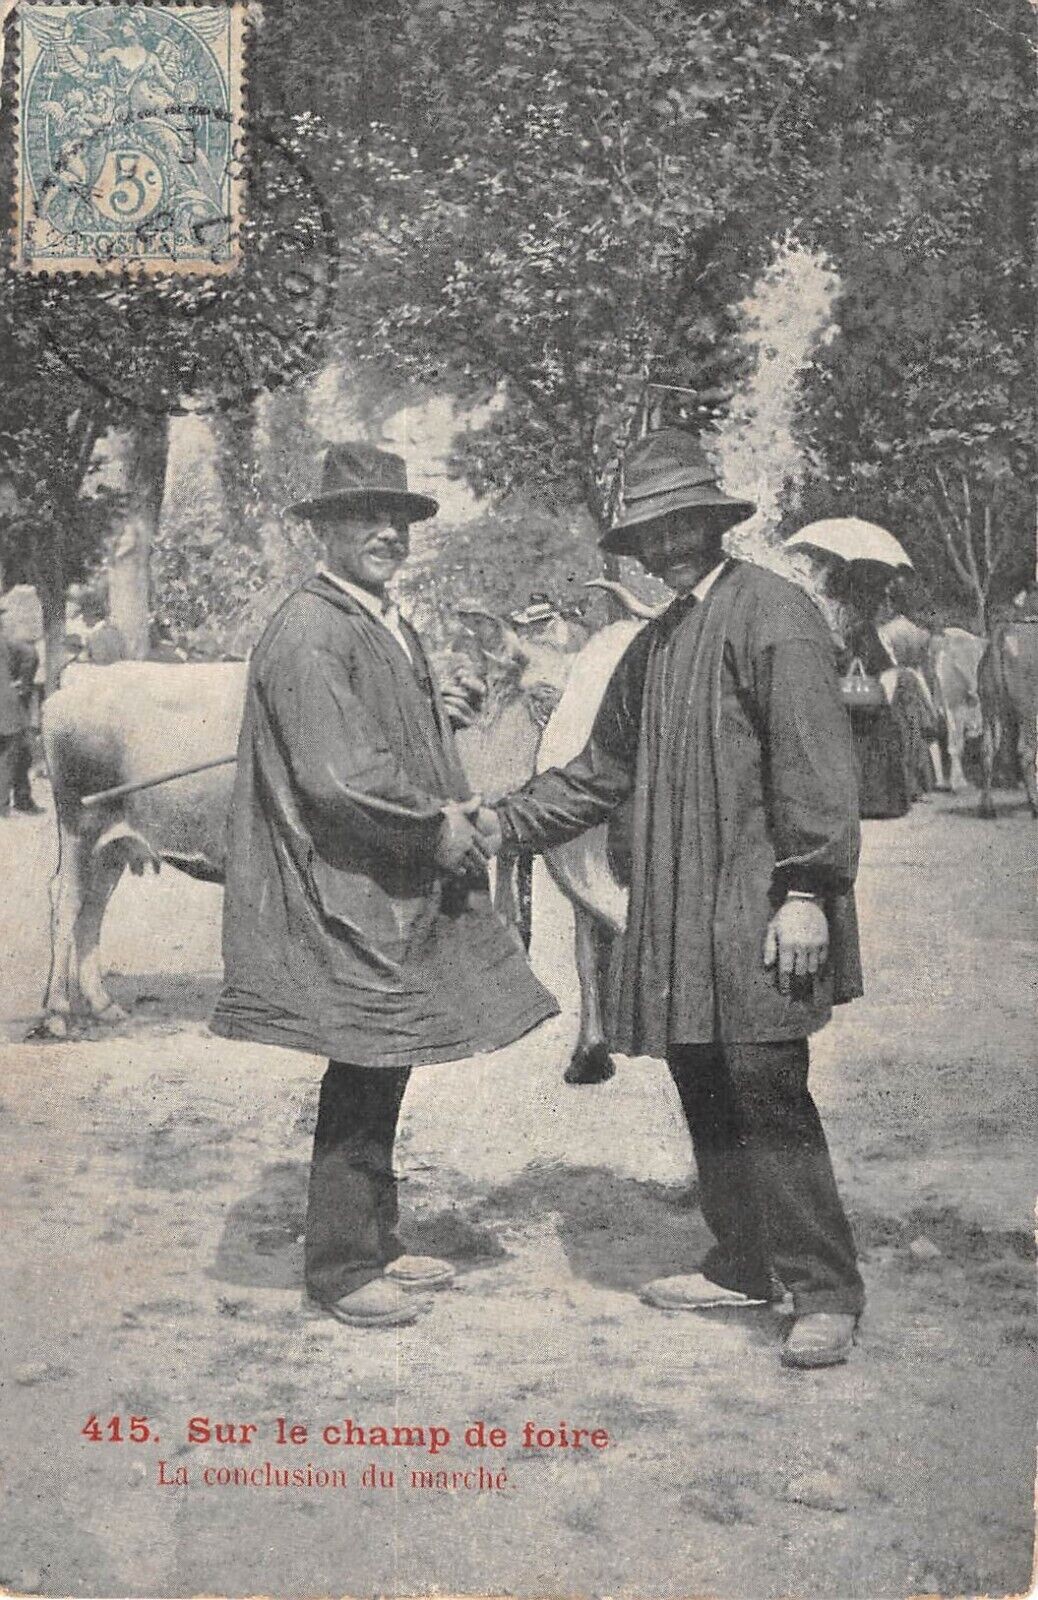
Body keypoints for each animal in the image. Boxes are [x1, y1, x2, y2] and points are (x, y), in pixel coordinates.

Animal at [977, 623, 1038, 819]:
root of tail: (1003, 633)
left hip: (990, 708)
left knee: (987, 751)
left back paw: (987, 809)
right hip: (1028, 710)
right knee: (1025, 752)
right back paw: (1034, 806)